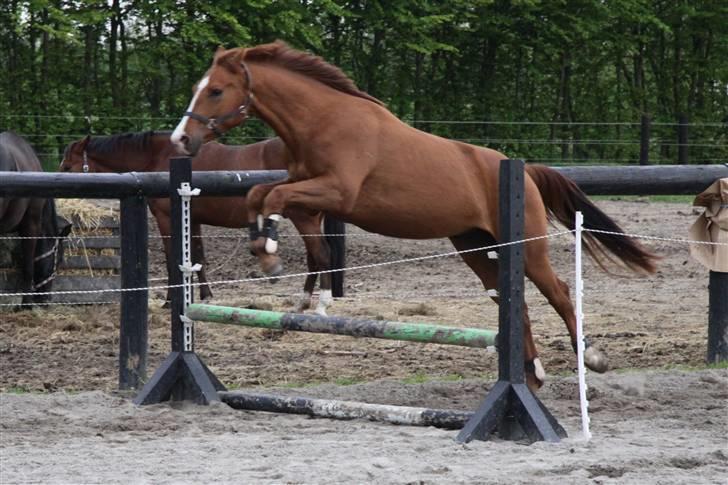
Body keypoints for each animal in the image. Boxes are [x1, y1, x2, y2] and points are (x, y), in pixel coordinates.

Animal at [59, 131, 342, 314]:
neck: (160, 157)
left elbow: (174, 259)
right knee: (314, 258)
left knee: (321, 254)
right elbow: (197, 257)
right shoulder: (192, 220)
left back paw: (320, 304)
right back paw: (303, 303)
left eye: (68, 166)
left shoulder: (166, 219)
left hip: (304, 218)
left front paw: (170, 301)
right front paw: (204, 297)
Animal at [172, 41, 660, 390]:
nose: (181, 140)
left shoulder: (337, 192)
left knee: (557, 292)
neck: (323, 120)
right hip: (473, 246)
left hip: (528, 247)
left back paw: (589, 358)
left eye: (216, 90)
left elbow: (273, 199)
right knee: (509, 298)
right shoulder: (306, 193)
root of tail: (523, 170)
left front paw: (270, 253)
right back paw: (532, 373)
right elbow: (262, 195)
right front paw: (265, 249)